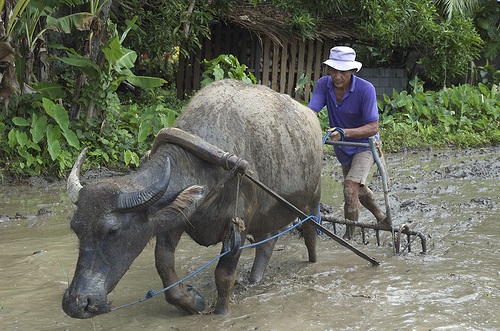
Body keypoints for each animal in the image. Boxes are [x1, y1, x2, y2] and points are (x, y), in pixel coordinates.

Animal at [62, 78, 322, 320]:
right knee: (267, 241)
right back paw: (255, 279)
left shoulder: (237, 224)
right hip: (266, 213)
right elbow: (163, 263)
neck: (207, 162)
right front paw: (191, 302)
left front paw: (222, 313)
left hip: (312, 200)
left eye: (112, 231)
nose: (77, 304)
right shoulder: (176, 217)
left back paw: (313, 263)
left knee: (310, 232)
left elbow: (224, 275)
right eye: (75, 228)